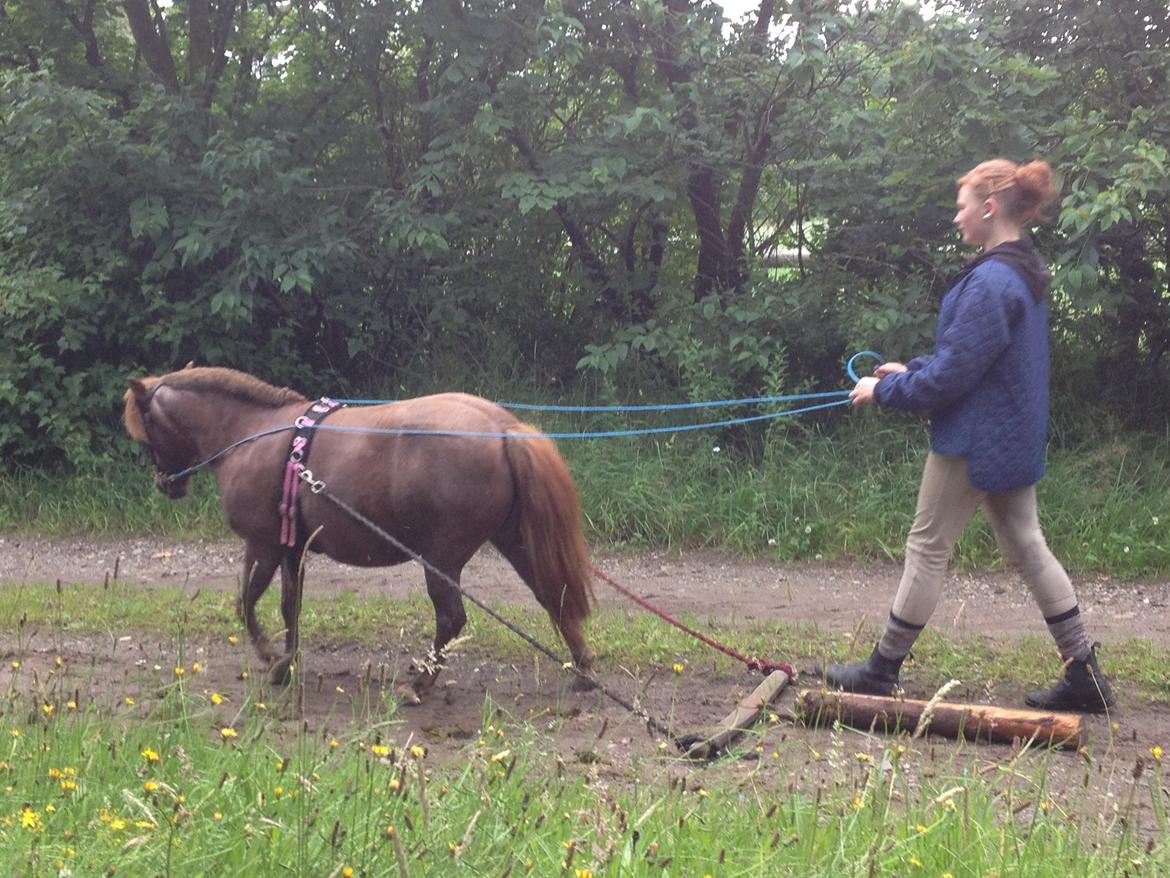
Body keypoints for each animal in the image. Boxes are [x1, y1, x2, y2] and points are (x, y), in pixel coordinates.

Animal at [123, 365, 594, 702]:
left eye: (148, 426)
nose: (166, 484)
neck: (252, 434)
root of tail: (501, 427)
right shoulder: (292, 548)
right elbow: (289, 607)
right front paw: (287, 662)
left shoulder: (263, 543)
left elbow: (247, 603)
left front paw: (272, 659)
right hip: (515, 541)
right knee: (553, 597)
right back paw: (583, 668)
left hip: (440, 559)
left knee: (451, 618)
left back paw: (420, 684)